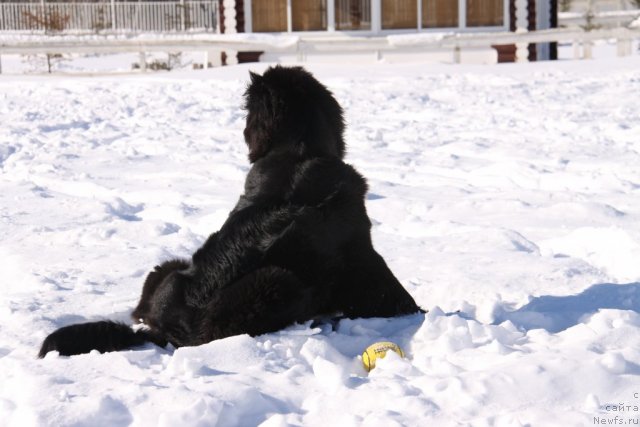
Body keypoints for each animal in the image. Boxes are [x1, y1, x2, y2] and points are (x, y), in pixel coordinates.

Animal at [38, 67, 420, 360]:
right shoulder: (360, 251)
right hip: (277, 281)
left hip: (168, 266)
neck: (298, 152)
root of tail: (160, 332)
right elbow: (392, 293)